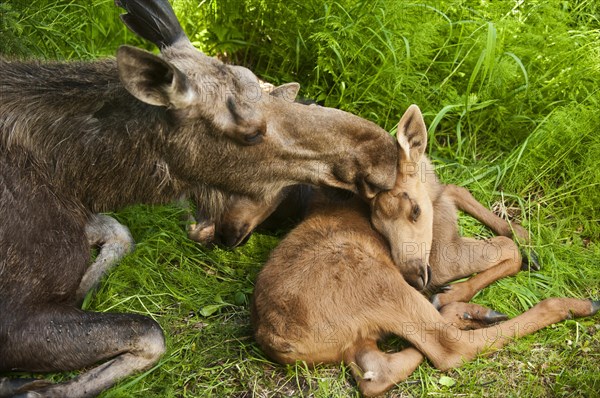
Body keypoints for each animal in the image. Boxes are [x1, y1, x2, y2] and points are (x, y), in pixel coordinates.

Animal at [1, 0, 398, 394]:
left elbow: (121, 234)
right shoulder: (13, 319)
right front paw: (30, 385)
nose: (384, 154)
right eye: (251, 133)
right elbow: (151, 332)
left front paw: (85, 286)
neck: (75, 177)